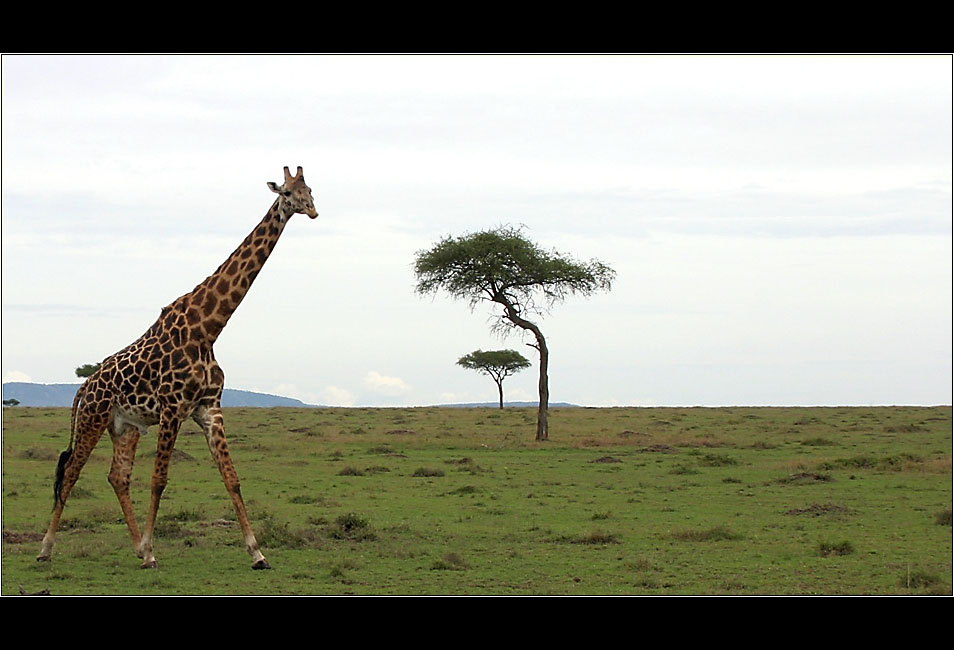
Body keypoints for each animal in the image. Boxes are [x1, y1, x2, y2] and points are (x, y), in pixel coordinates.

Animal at [37, 166, 320, 568]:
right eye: (287, 193)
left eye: (310, 190)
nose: (312, 211)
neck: (208, 329)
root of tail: (83, 387)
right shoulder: (172, 408)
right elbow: (159, 480)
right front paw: (153, 550)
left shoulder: (209, 408)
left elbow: (231, 478)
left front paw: (258, 553)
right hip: (93, 420)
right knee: (72, 472)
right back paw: (47, 548)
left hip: (125, 427)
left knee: (117, 476)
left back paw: (136, 548)